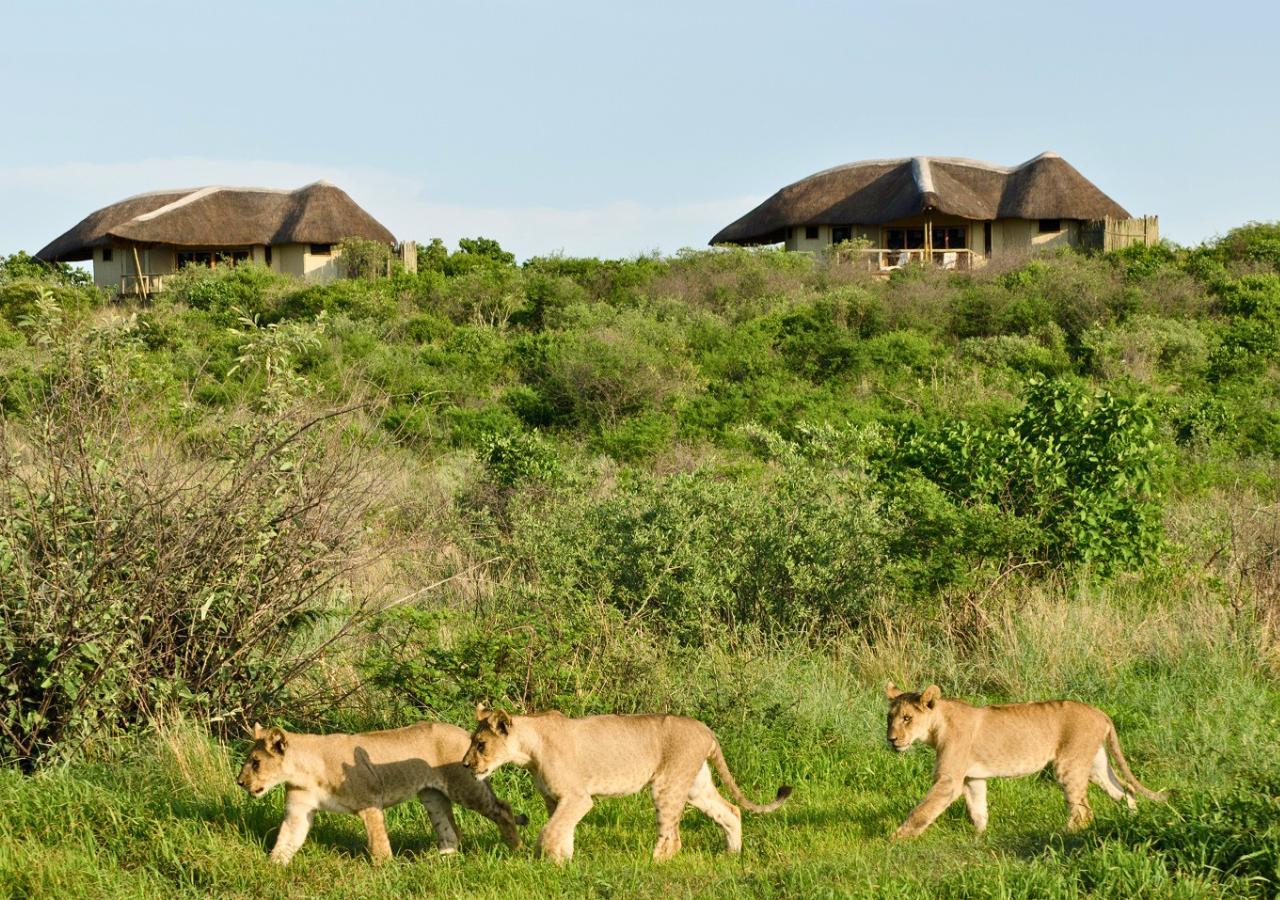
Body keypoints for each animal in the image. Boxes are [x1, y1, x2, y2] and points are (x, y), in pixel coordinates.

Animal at [236, 722, 526, 865]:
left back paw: (517, 850)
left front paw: (385, 872)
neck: (303, 771)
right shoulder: (298, 811)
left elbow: (379, 845)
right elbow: (286, 841)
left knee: (502, 808)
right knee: (451, 831)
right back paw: (440, 861)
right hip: (431, 795)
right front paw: (270, 869)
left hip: (465, 786)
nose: (239, 782)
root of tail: (466, 733)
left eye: (255, 762)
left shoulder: (370, 803)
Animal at [462, 705, 792, 863]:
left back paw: (653, 863)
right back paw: (731, 854)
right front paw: (564, 862)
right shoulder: (555, 799)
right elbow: (563, 829)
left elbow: (550, 831)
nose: (465, 765)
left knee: (672, 837)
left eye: (480, 744)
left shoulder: (578, 797)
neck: (527, 750)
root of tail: (705, 728)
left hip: (666, 785)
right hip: (695, 786)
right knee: (731, 810)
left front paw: (547, 862)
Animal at [884, 683, 1167, 839]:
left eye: (907, 718)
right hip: (1096, 765)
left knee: (1083, 811)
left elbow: (922, 811)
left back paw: (1062, 835)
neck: (936, 726)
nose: (891, 739)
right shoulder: (974, 778)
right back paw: (1131, 818)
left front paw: (895, 839)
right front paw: (979, 837)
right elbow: (978, 809)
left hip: (1068, 765)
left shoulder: (948, 780)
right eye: (890, 718)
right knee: (1125, 789)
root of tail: (1100, 712)